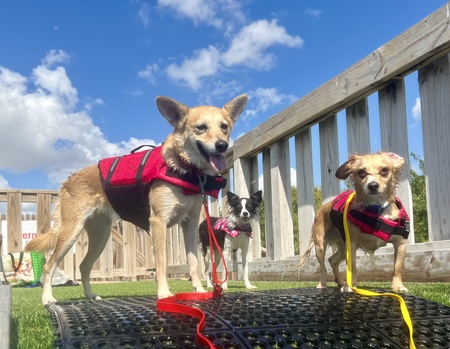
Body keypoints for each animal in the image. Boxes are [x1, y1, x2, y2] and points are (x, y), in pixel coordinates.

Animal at [24, 94, 248, 304]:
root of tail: (68, 180)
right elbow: (161, 264)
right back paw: (47, 298)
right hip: (70, 232)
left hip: (100, 236)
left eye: (224, 127)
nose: (222, 145)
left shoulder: (190, 225)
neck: (185, 169)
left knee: (84, 266)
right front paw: (164, 293)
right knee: (49, 266)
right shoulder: (158, 222)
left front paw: (199, 292)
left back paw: (90, 296)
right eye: (201, 127)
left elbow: (193, 263)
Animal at [300, 152, 410, 290]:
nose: (373, 185)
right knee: (323, 267)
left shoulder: (400, 243)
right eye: (361, 172)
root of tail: (321, 209)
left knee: (332, 260)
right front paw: (350, 286)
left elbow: (397, 267)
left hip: (342, 247)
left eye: (385, 170)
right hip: (320, 246)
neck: (376, 209)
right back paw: (322, 284)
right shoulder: (351, 245)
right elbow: (352, 267)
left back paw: (340, 281)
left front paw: (398, 286)